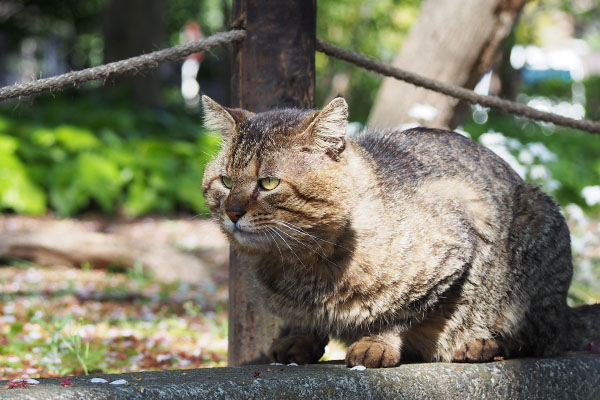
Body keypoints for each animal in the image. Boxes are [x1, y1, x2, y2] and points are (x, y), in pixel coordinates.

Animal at [203, 95, 600, 368]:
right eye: (225, 182)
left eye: (268, 183)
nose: (233, 212)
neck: (298, 264)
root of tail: (566, 311)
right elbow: (304, 320)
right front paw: (299, 337)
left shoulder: (459, 232)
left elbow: (398, 311)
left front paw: (376, 343)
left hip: (538, 225)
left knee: (534, 339)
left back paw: (481, 343)